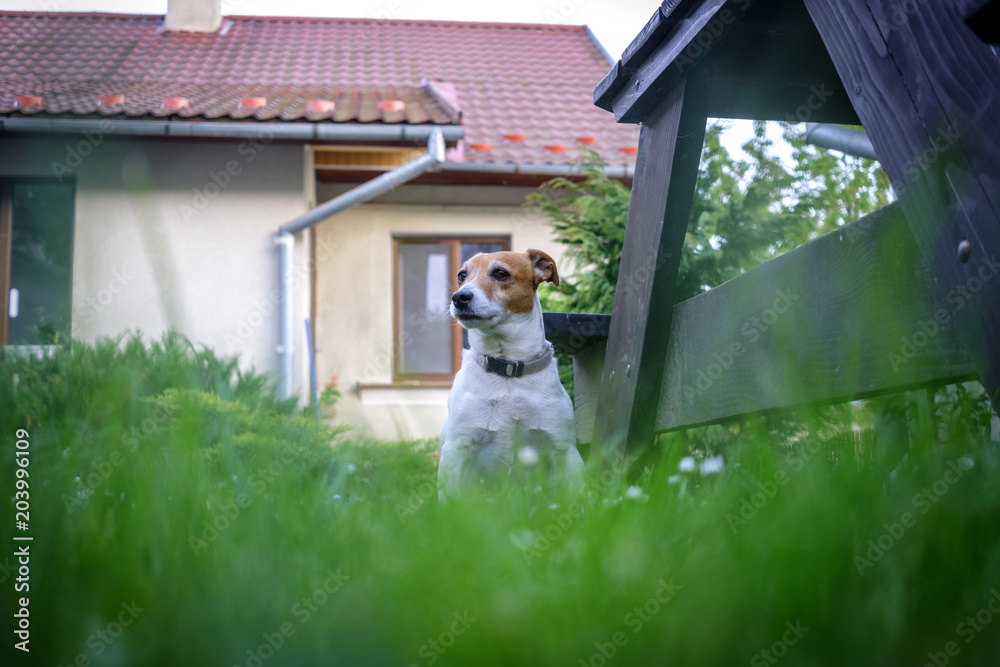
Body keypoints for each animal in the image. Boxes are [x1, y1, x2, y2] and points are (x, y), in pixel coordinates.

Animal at [440, 248, 584, 498]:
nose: (458, 297)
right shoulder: (456, 448)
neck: (508, 370)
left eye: (500, 273)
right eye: (462, 275)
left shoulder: (565, 450)